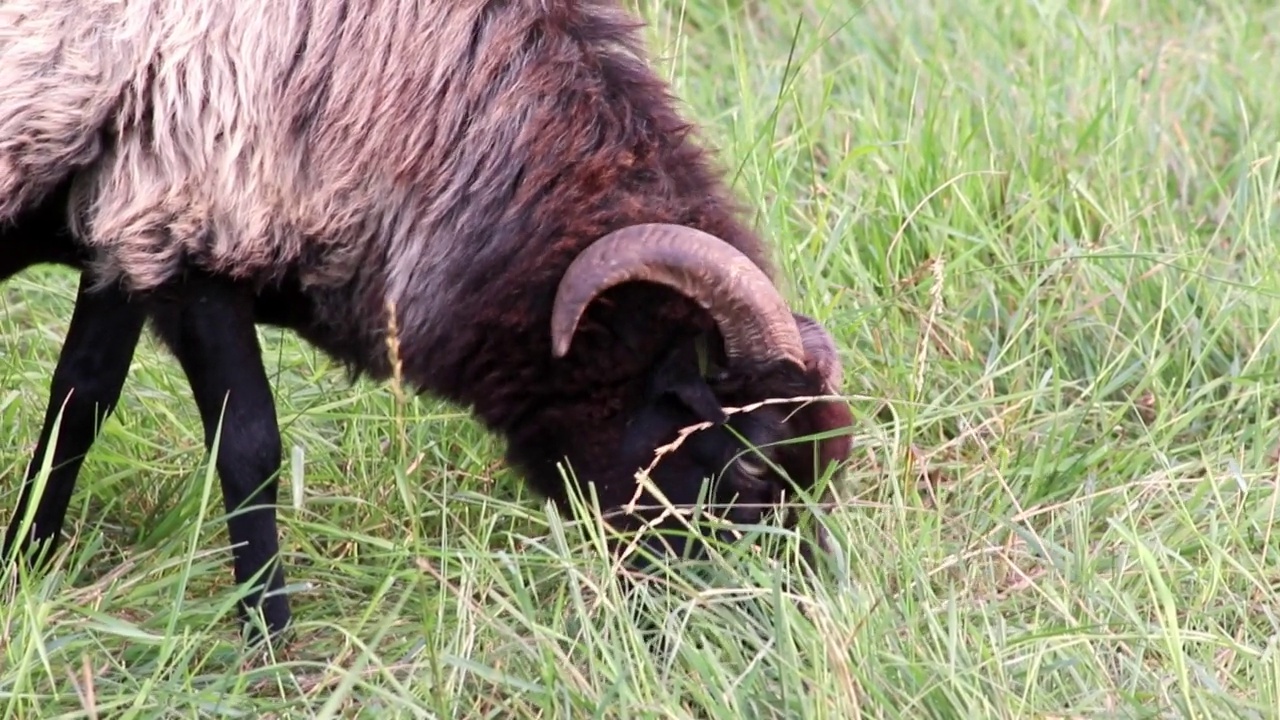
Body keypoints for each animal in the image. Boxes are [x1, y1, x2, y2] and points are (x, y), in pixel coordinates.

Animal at [2, 0, 860, 638]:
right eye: (750, 465)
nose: (783, 628)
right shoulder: (187, 241)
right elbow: (250, 448)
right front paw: (269, 642)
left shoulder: (124, 234)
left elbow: (79, 402)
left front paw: (25, 562)